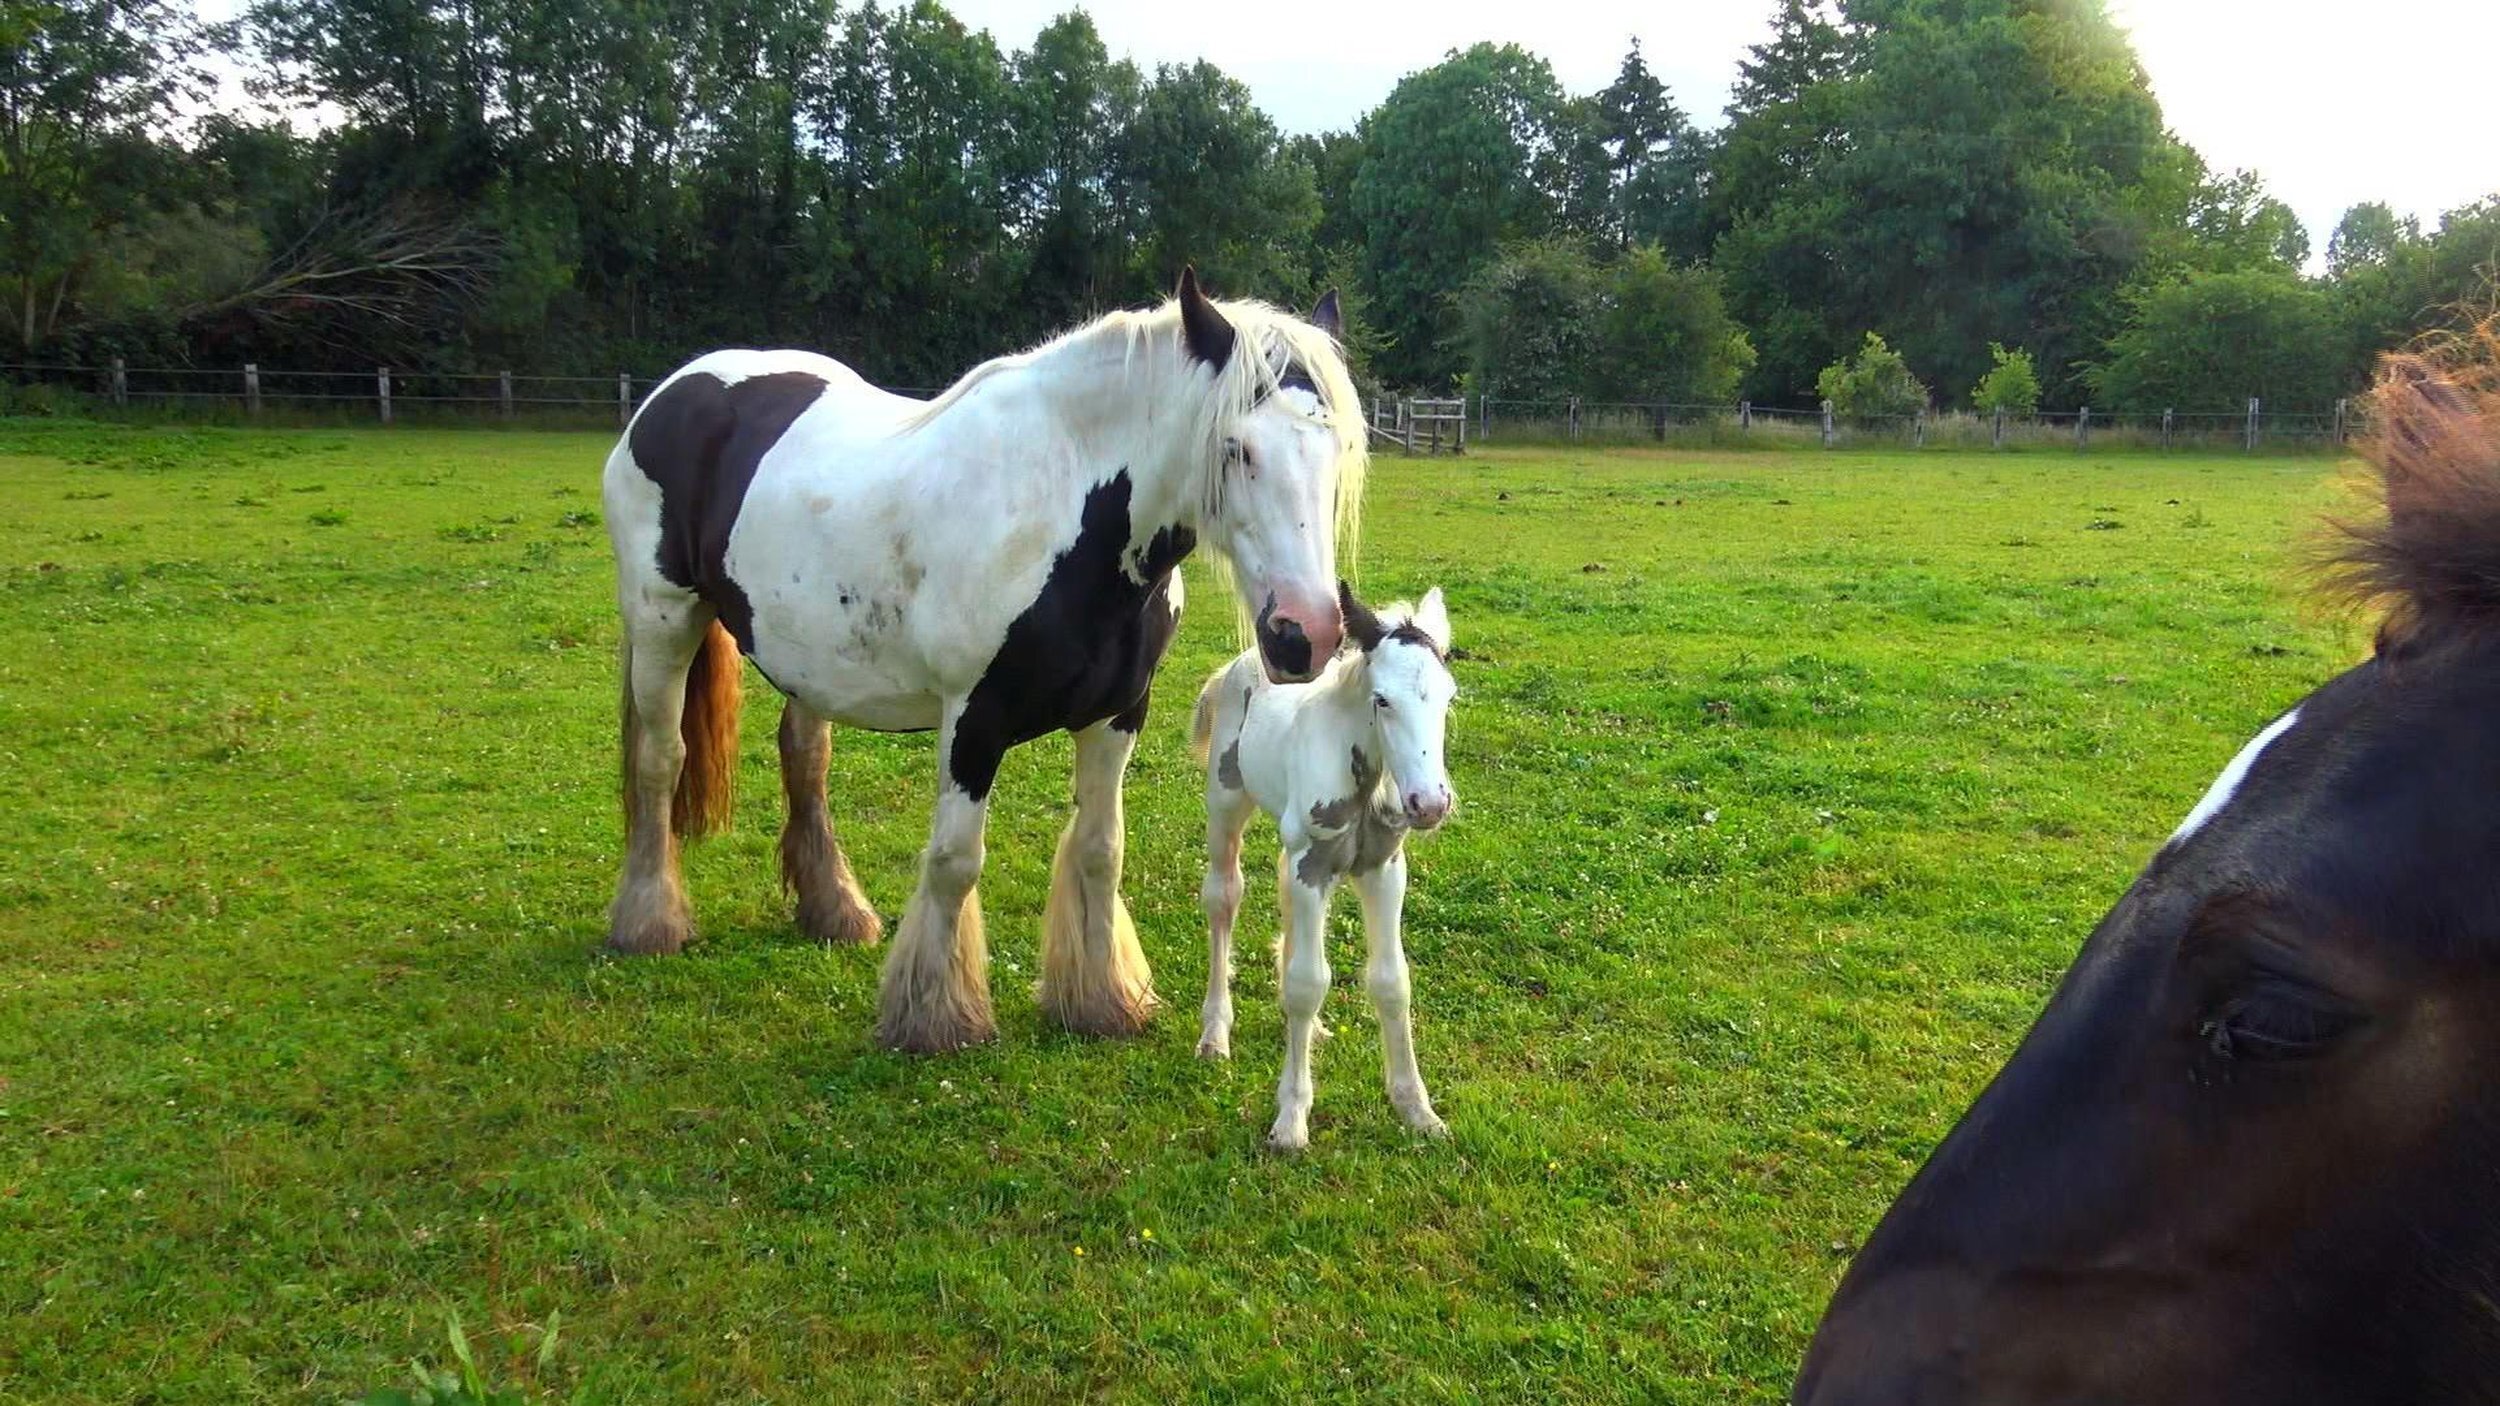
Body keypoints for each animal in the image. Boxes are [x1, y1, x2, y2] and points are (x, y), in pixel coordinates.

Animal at [600, 270, 1368, 1055]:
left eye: (1338, 448)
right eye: (1236, 448)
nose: (1304, 634)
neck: (1067, 513)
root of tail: (674, 392)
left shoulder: (1118, 716)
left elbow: (1101, 849)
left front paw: (1102, 1000)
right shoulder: (973, 722)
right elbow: (954, 862)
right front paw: (934, 1017)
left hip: (808, 661)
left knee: (805, 761)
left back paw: (835, 911)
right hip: (664, 620)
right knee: (660, 760)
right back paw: (650, 921)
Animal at [1190, 583, 1457, 1149]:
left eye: (1449, 698)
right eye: (1382, 700)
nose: (1429, 804)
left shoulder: (1383, 868)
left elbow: (1392, 981)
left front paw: (1416, 1109)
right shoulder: (1311, 864)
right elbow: (1308, 983)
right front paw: (1291, 1119)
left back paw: (1308, 1030)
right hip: (1226, 805)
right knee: (1224, 897)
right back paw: (1215, 1033)